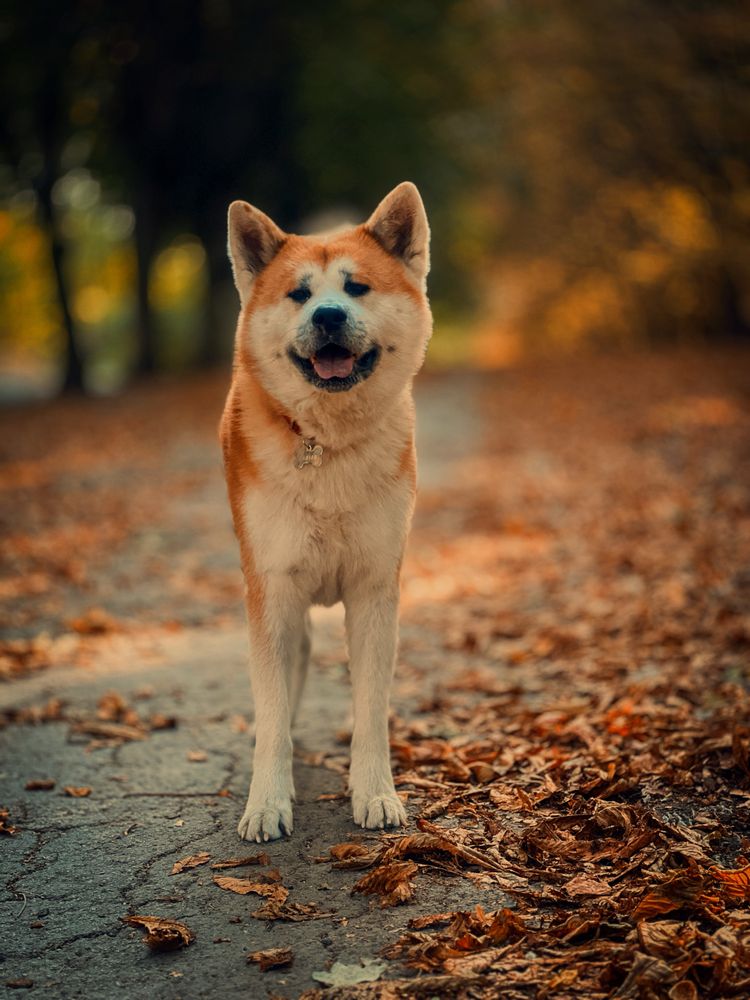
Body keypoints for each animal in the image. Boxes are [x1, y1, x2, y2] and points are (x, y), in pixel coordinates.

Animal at [222, 184, 434, 840]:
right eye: (299, 295)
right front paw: (268, 801)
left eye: (356, 288)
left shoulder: (374, 589)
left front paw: (375, 792)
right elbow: (270, 715)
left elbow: (371, 710)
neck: (328, 442)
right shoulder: (271, 587)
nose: (328, 317)